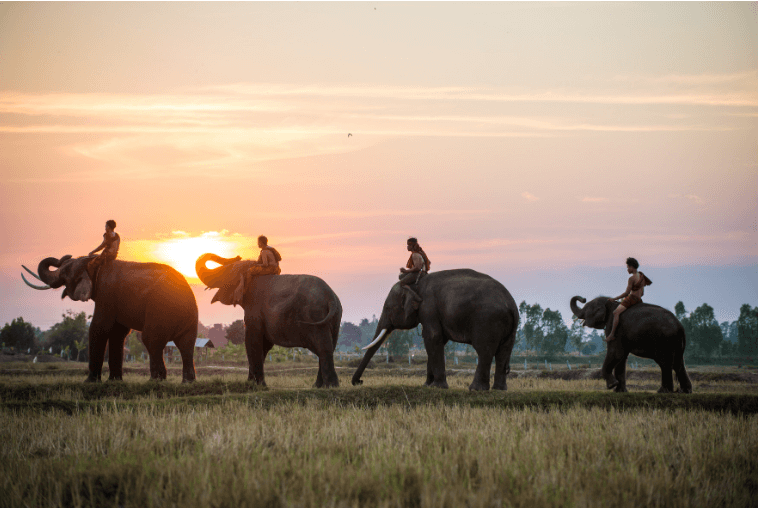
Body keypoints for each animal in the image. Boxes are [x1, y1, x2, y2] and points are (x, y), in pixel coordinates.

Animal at [22, 255, 198, 382]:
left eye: (64, 274)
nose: (63, 257)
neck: (94, 264)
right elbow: (117, 333)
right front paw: (114, 381)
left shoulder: (106, 293)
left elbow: (99, 327)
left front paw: (91, 382)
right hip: (188, 318)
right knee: (186, 345)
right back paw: (187, 382)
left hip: (160, 310)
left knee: (151, 340)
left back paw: (155, 380)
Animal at [195, 253, 342, 387]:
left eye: (226, 272)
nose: (237, 256)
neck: (251, 271)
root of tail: (331, 296)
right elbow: (264, 346)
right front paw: (252, 383)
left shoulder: (254, 310)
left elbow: (252, 341)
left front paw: (258, 386)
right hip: (334, 319)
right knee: (329, 347)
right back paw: (319, 386)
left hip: (314, 315)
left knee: (323, 347)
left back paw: (330, 386)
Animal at [352, 269, 519, 391]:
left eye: (387, 308)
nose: (359, 381)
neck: (416, 284)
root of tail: (511, 304)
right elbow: (435, 340)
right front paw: (427, 385)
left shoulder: (429, 308)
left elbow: (432, 337)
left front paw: (438, 387)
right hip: (510, 329)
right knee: (503, 352)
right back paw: (499, 389)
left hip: (487, 321)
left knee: (484, 351)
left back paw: (476, 389)